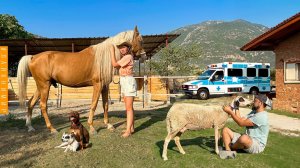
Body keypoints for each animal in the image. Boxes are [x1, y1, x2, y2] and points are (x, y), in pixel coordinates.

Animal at [17, 26, 146, 134]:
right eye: (140, 40)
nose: (144, 56)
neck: (104, 57)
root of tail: (33, 57)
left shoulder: (105, 86)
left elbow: (105, 105)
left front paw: (108, 125)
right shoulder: (98, 85)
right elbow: (94, 104)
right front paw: (92, 127)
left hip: (40, 86)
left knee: (31, 103)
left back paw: (30, 127)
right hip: (45, 86)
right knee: (43, 105)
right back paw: (52, 129)